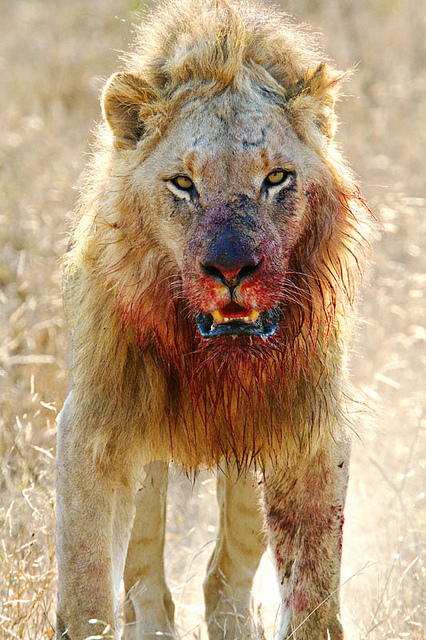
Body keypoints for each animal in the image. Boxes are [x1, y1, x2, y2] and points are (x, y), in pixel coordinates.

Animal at [55, 1, 372, 640]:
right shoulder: (94, 431)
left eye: (276, 178)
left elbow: (313, 588)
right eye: (184, 183)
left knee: (224, 574)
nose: (231, 269)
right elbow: (87, 587)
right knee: (146, 576)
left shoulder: (307, 432)